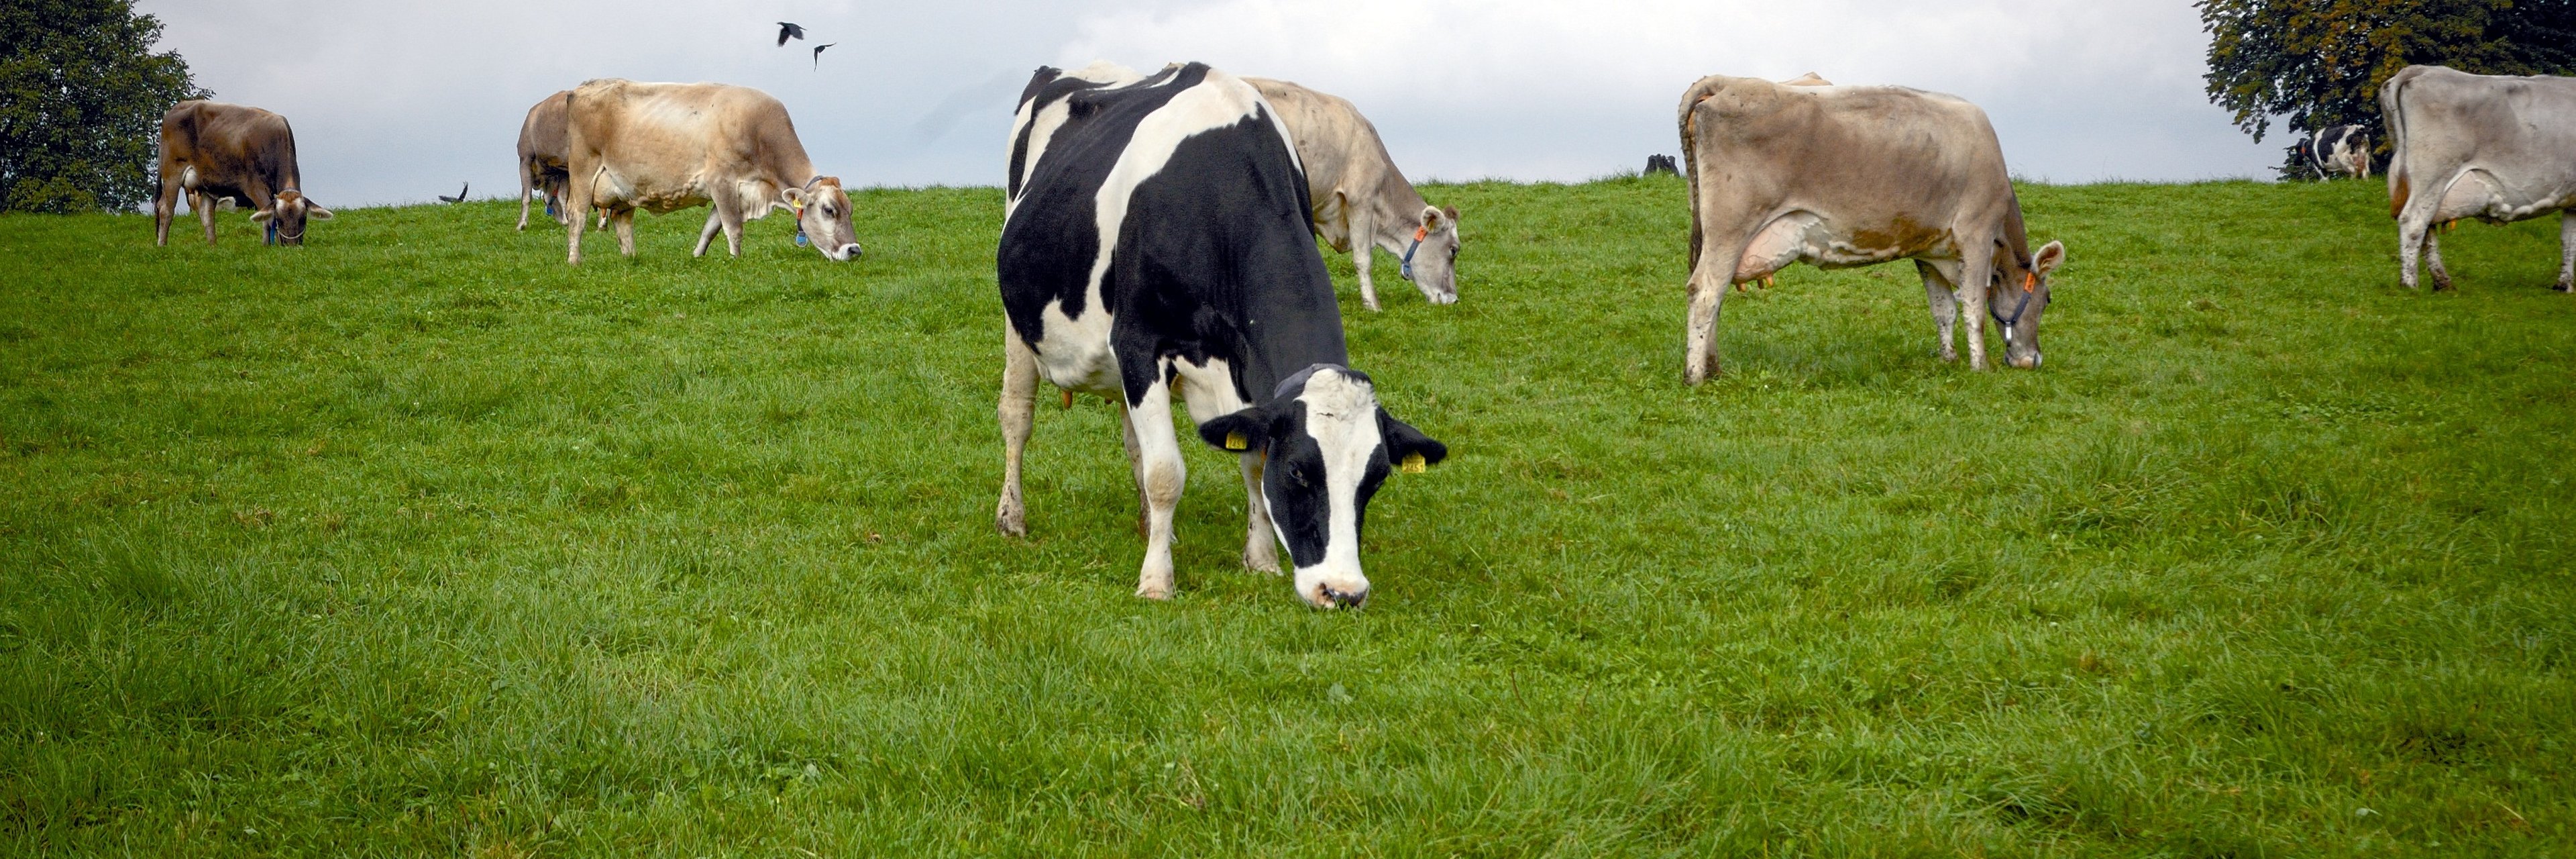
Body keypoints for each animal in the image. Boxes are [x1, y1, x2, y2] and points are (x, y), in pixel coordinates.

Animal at [153, 101, 331, 247]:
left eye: (303, 218)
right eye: (280, 219)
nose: (292, 246)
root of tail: (177, 107)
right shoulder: (254, 187)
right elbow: (267, 218)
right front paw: (267, 245)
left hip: (206, 182)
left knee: (207, 215)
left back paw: (213, 246)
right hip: (172, 173)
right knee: (165, 209)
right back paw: (162, 245)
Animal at [517, 90, 572, 230]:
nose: (560, 220)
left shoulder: (525, 159)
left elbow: (526, 196)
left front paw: (521, 224)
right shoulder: (564, 171)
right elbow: (563, 196)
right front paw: (567, 220)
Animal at [558, 79, 861, 264]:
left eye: (850, 209)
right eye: (829, 210)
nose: (854, 250)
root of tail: (583, 88)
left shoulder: (732, 191)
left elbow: (711, 228)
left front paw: (697, 257)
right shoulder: (721, 181)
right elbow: (733, 228)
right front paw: (736, 260)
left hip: (622, 189)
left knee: (622, 222)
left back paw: (631, 258)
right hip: (584, 169)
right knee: (577, 215)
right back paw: (575, 261)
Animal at [1677, 74, 2065, 382]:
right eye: (2047, 299)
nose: (2033, 360)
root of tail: (1725, 82)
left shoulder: (1929, 251)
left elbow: (1944, 310)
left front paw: (1949, 358)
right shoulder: (1976, 233)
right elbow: (1973, 307)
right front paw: (1980, 367)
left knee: (1715, 293)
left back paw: (1713, 368)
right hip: (1731, 226)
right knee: (1705, 291)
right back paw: (1695, 377)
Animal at [2380, 65, 2576, 293]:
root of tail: (2422, 70)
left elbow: (2569, 239)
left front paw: (2564, 285)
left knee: (2428, 229)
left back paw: (2443, 283)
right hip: (2432, 174)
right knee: (2414, 222)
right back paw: (2410, 284)